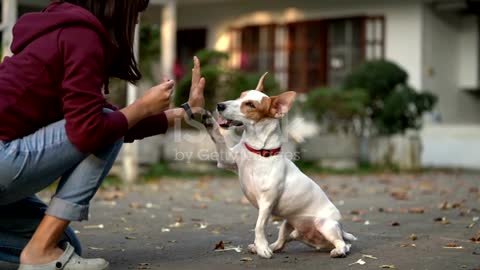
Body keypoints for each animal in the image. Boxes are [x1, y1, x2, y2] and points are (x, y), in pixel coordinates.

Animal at [202, 72, 356, 260]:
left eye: (250, 105)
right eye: (240, 95)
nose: (220, 105)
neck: (258, 151)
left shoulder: (266, 202)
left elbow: (259, 225)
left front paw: (262, 247)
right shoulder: (226, 159)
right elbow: (218, 137)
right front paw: (209, 121)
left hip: (325, 225)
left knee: (344, 243)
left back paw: (339, 250)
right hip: (287, 224)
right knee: (282, 243)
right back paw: (268, 246)